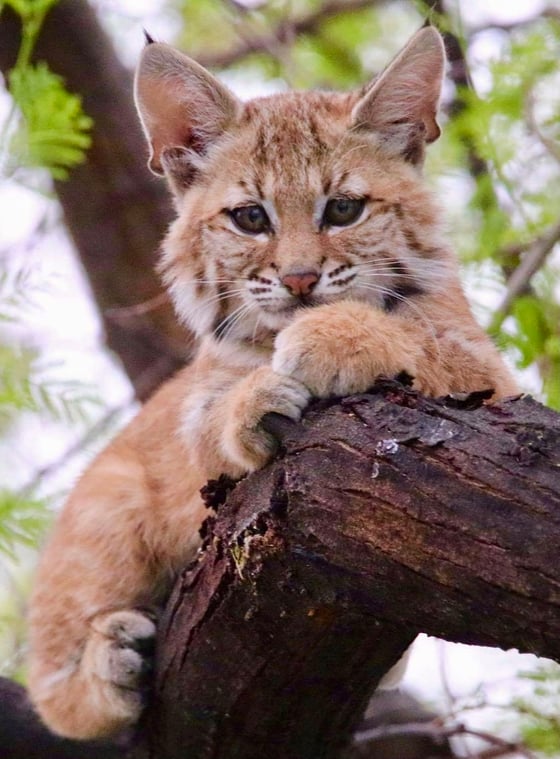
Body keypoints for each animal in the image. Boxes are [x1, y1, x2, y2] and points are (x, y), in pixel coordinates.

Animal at [26, 28, 516, 736]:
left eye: (343, 209)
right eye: (250, 219)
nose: (300, 281)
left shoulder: (496, 377)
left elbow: (425, 338)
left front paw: (335, 336)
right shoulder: (194, 408)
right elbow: (206, 423)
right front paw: (252, 400)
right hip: (106, 503)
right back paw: (104, 670)